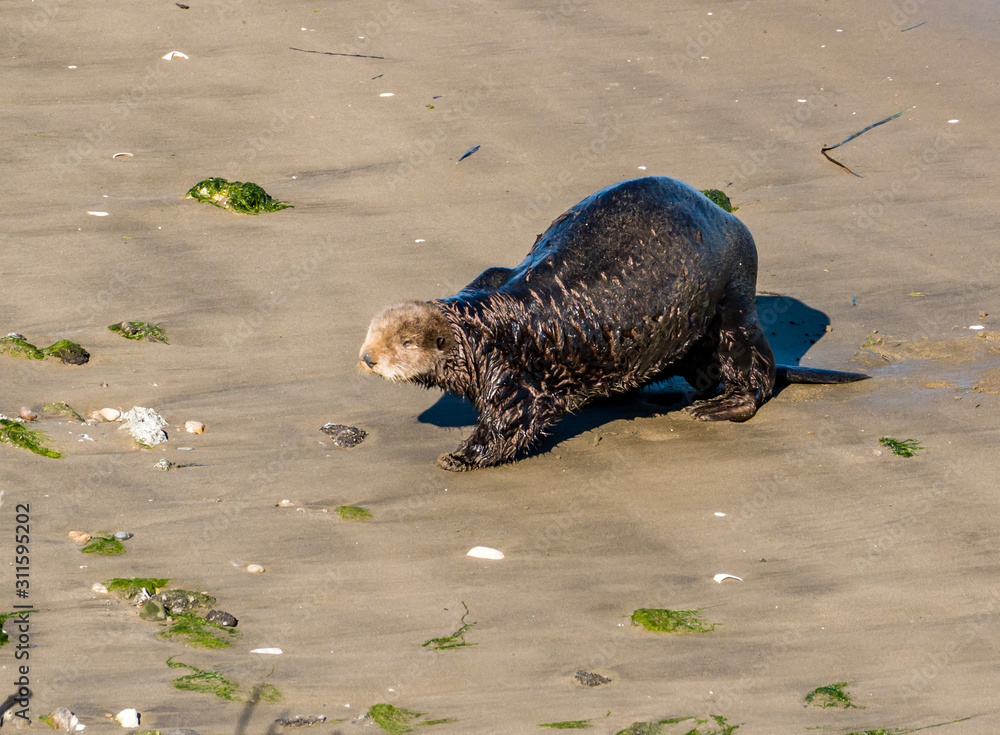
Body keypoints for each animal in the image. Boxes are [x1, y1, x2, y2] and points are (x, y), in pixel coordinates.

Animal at [359, 176, 867, 471]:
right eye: (370, 333)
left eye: (404, 342)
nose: (366, 358)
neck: (485, 324)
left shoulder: (508, 371)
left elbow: (512, 421)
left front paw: (458, 456)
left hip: (734, 298)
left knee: (753, 368)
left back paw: (719, 405)